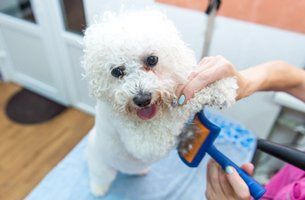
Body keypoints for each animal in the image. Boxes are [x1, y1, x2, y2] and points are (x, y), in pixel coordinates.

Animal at [83, 10, 238, 196]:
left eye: (152, 60)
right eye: (116, 71)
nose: (142, 99)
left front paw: (221, 86)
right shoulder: (147, 144)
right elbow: (180, 108)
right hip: (101, 168)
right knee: (99, 178)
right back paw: (98, 189)